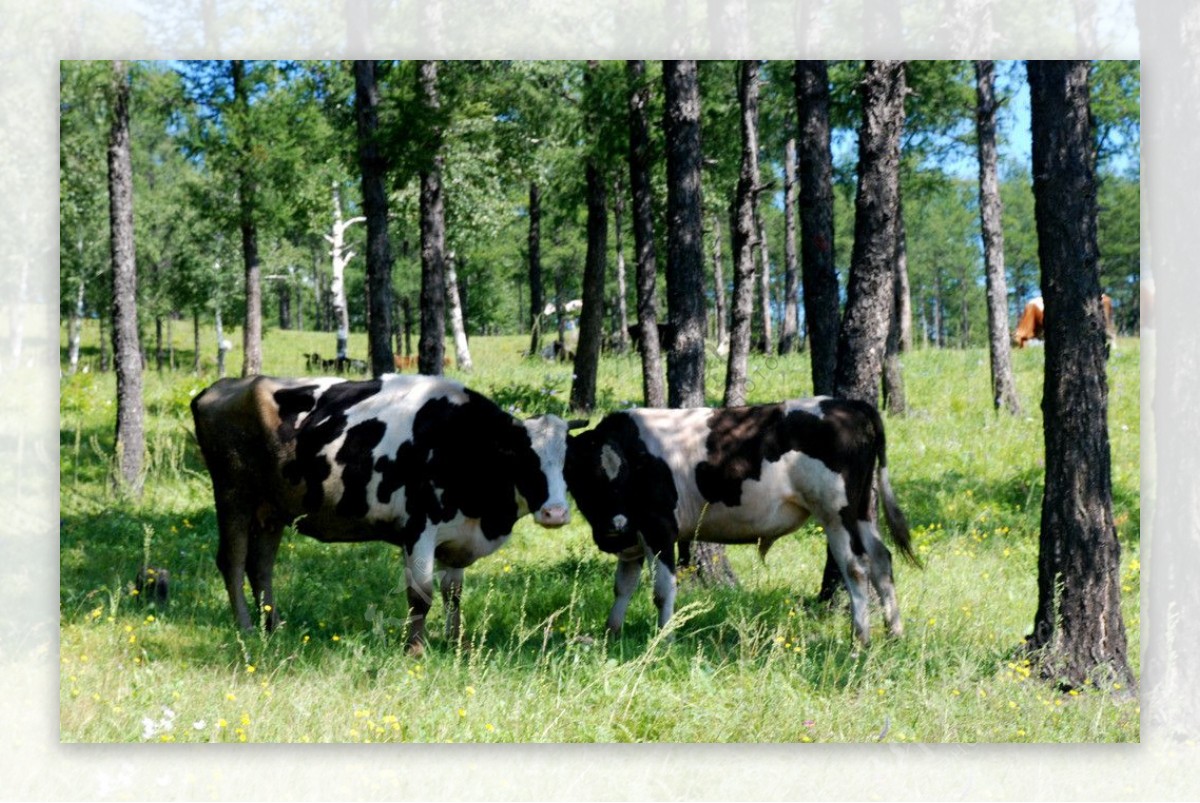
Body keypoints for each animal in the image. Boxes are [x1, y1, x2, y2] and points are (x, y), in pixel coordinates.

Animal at [189, 372, 573, 652]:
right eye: (523, 457)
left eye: (566, 459)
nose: (556, 513)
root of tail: (224, 386)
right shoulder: (419, 528)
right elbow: (421, 594)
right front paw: (414, 650)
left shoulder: (458, 534)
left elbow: (453, 593)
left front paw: (456, 643)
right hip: (234, 497)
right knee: (233, 562)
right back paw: (246, 627)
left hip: (273, 510)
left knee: (261, 566)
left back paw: (274, 625)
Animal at [561, 396, 916, 643]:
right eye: (582, 476)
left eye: (623, 475)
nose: (614, 526)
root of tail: (849, 404)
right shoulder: (633, 537)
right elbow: (622, 586)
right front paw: (612, 633)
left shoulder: (659, 527)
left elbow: (662, 589)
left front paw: (665, 637)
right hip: (862, 509)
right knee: (881, 560)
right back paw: (894, 633)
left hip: (836, 512)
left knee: (856, 567)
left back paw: (861, 638)